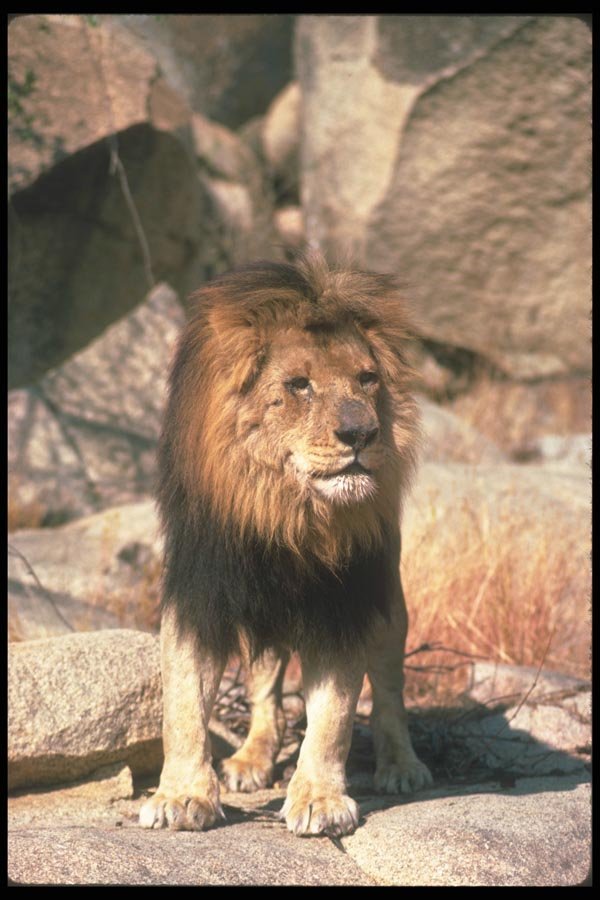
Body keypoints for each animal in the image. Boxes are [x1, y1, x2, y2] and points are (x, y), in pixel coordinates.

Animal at [139, 251, 432, 837]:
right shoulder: (198, 597)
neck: (287, 516)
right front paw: (182, 795)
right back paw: (251, 758)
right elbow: (183, 708)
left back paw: (401, 766)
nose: (361, 434)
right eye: (299, 385)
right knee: (264, 686)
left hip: (389, 601)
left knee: (389, 688)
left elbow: (334, 718)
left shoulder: (346, 608)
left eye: (367, 379)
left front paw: (320, 799)